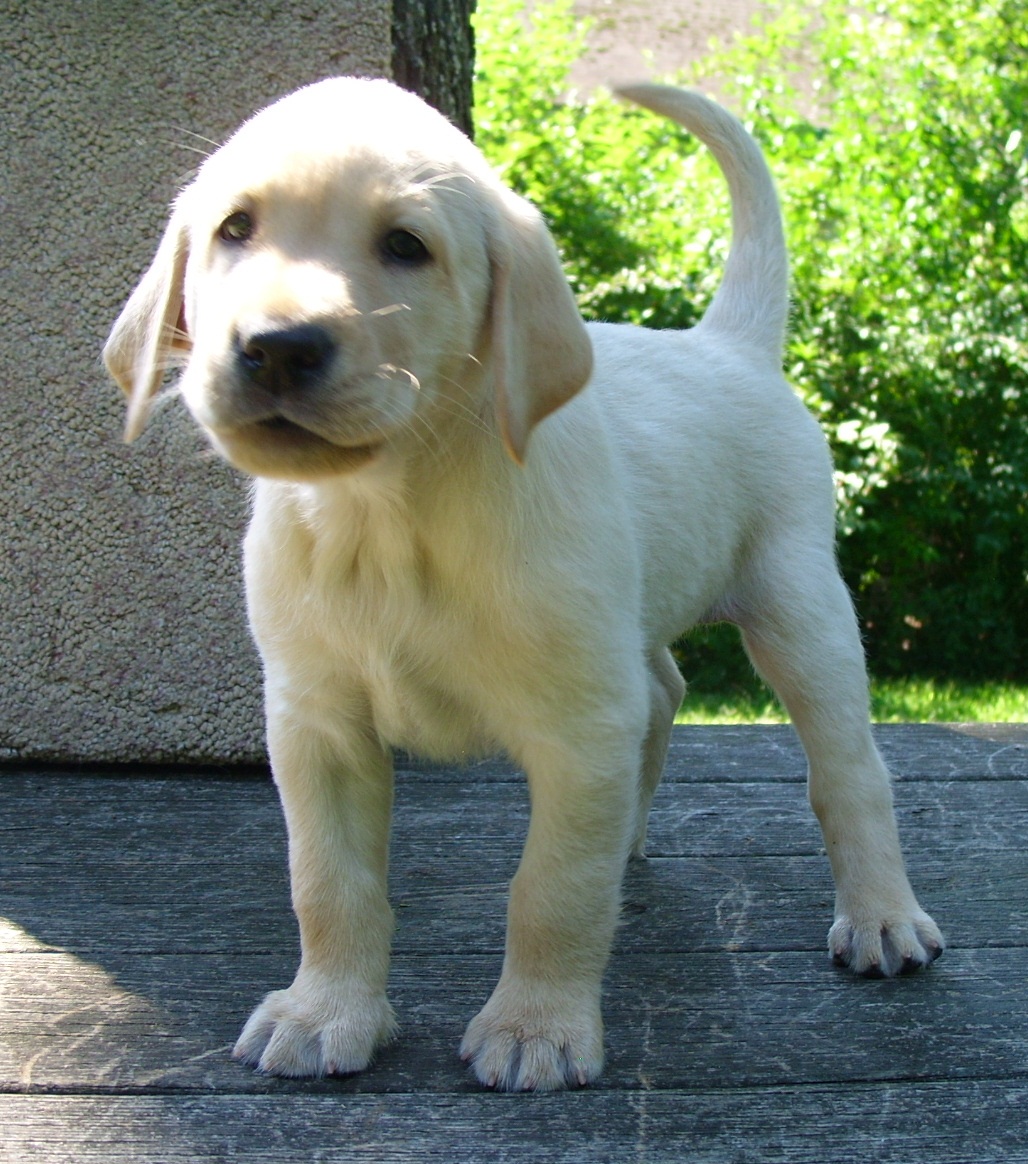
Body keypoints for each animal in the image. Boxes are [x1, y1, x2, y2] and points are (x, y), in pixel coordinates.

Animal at [104, 77, 943, 1092]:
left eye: (406, 247)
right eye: (235, 228)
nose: (277, 347)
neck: (389, 515)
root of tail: (726, 345)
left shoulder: (578, 728)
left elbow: (553, 888)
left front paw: (536, 1028)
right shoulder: (317, 721)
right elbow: (329, 882)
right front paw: (324, 1012)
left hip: (797, 603)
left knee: (848, 770)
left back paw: (882, 915)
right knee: (663, 693)